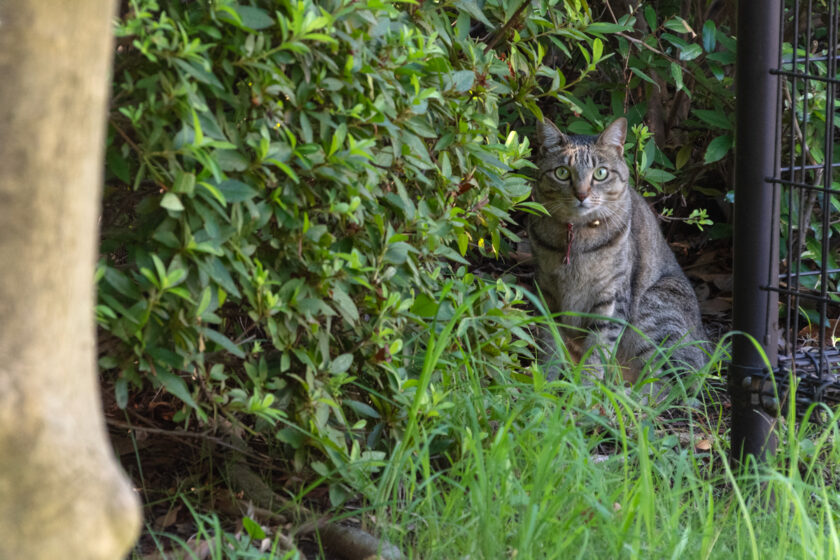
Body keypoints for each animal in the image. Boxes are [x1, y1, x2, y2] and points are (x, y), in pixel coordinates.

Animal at [532, 116, 708, 388]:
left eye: (600, 173)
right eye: (562, 173)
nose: (581, 194)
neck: (576, 239)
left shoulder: (612, 296)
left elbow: (597, 352)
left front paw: (584, 392)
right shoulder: (547, 294)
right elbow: (549, 347)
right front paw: (544, 385)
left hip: (653, 314)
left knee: (669, 387)